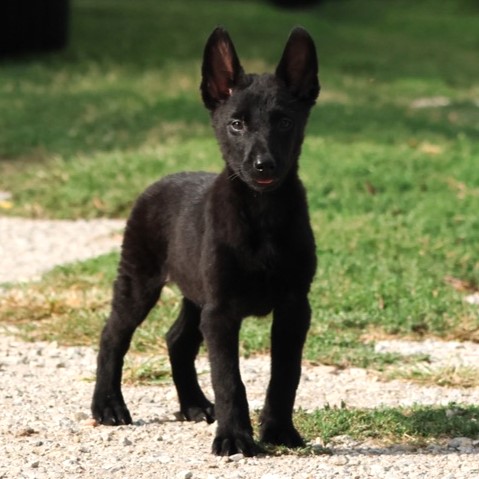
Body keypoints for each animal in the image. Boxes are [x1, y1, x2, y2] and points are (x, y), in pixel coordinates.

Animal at [92, 27, 320, 458]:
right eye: (236, 124)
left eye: (284, 121)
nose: (263, 165)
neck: (261, 214)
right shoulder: (221, 311)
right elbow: (229, 378)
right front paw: (235, 437)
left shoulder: (294, 307)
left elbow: (285, 375)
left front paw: (279, 430)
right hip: (139, 280)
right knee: (113, 335)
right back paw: (108, 405)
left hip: (194, 294)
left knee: (177, 340)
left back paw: (194, 405)